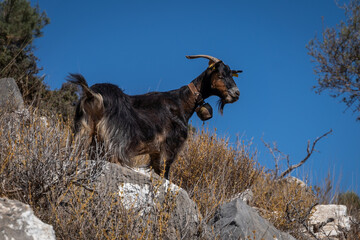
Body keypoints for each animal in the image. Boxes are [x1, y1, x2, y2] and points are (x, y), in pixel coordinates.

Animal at [67, 54, 242, 178]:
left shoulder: (154, 153)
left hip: (83, 132)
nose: (236, 93)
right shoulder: (169, 148)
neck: (181, 102)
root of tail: (93, 94)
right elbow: (165, 174)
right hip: (115, 142)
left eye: (231, 74)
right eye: (220, 74)